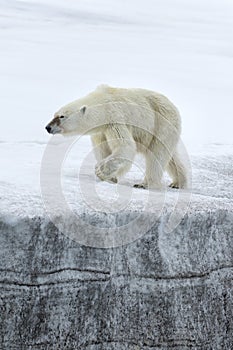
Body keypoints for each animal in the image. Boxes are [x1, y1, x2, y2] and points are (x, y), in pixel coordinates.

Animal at [46, 84, 189, 189]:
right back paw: (178, 182)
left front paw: (100, 170)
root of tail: (173, 106)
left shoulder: (115, 119)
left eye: (62, 116)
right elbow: (103, 148)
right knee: (171, 157)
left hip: (161, 124)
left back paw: (144, 184)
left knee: (157, 155)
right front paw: (111, 177)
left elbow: (125, 146)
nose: (48, 127)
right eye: (55, 114)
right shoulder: (101, 130)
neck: (103, 103)